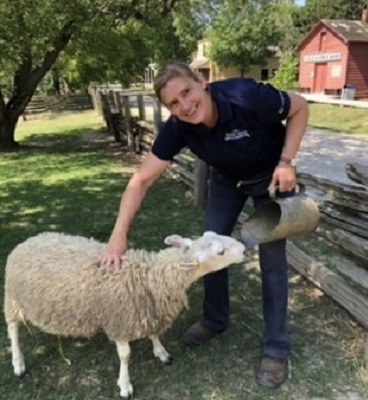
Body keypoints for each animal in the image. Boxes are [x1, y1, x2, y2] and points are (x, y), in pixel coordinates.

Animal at [3, 230, 244, 398]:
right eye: (220, 252)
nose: (243, 248)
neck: (149, 275)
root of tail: (27, 241)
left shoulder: (148, 310)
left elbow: (154, 333)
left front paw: (161, 352)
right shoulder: (120, 320)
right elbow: (125, 356)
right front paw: (125, 386)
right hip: (12, 299)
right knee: (13, 329)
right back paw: (18, 364)